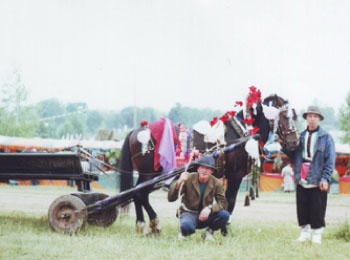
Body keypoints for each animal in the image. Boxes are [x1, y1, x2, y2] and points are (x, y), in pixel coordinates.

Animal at [119, 93, 298, 234]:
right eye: (286, 117)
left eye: (295, 116)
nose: (295, 142)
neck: (241, 135)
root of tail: (136, 130)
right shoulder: (235, 175)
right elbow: (230, 201)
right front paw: (224, 229)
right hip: (151, 172)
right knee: (139, 193)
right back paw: (153, 223)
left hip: (148, 174)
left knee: (136, 193)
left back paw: (143, 225)